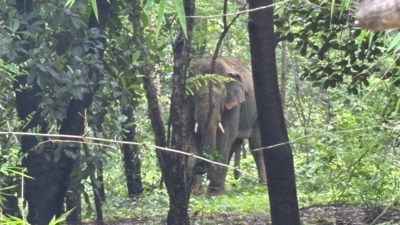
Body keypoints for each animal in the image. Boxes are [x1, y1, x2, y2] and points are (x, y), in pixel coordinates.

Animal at [185, 56, 268, 197]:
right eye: (193, 96)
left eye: (223, 94)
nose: (201, 167)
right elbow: (193, 136)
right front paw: (197, 193)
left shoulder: (234, 103)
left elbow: (225, 136)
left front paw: (215, 194)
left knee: (256, 146)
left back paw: (263, 185)